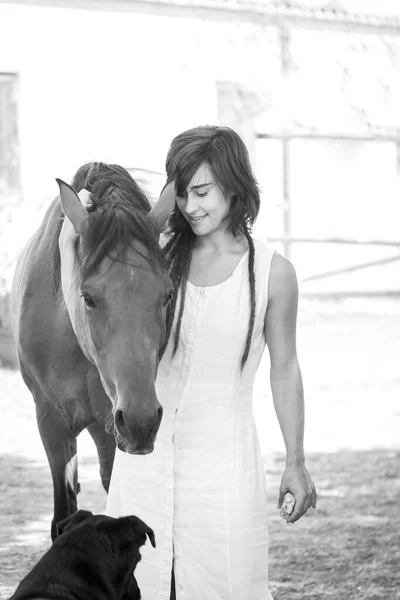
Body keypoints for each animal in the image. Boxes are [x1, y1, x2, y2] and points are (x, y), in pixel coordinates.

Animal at [10, 162, 173, 540]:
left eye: (168, 295)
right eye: (88, 297)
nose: (142, 422)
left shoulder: (114, 427)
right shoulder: (51, 422)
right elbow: (62, 515)